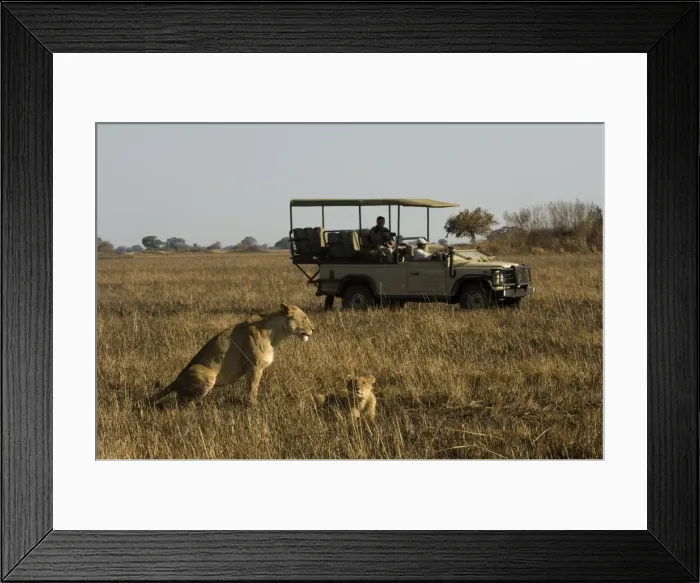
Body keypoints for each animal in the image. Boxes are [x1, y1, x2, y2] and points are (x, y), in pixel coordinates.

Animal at [141, 303, 315, 408]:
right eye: (305, 318)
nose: (314, 329)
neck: (277, 333)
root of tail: (176, 380)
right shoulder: (254, 366)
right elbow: (253, 387)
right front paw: (253, 406)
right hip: (208, 375)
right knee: (181, 403)